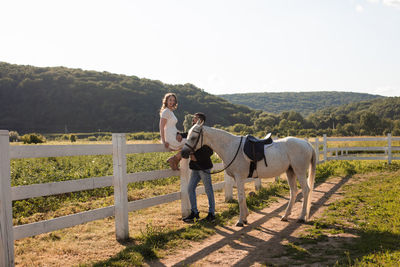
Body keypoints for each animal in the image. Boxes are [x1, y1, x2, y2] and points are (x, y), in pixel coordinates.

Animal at [181, 122, 316, 227]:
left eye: (193, 137)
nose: (183, 153)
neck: (230, 146)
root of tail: (307, 144)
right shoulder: (238, 179)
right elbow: (243, 197)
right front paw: (245, 218)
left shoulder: (239, 177)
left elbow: (240, 198)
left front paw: (240, 221)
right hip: (290, 171)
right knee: (294, 191)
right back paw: (286, 216)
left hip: (299, 171)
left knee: (306, 190)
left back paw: (301, 217)